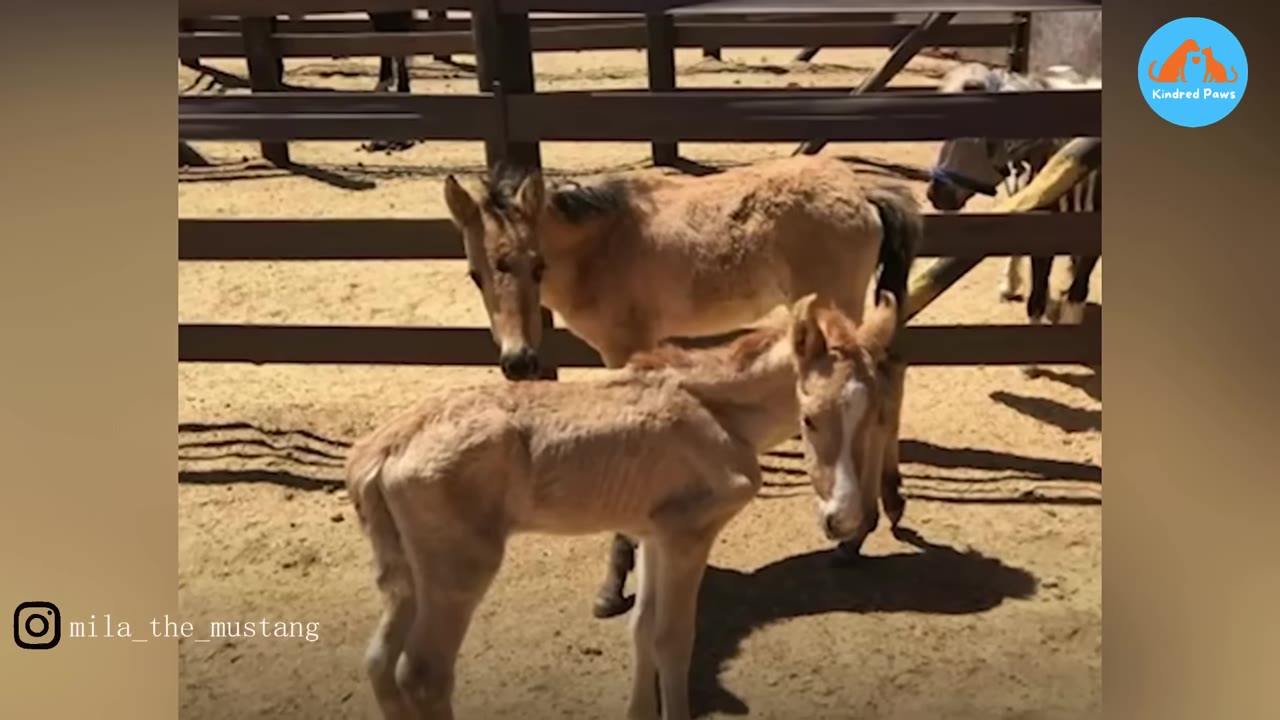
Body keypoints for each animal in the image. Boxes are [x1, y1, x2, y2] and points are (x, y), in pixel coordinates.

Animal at [345, 292, 904, 720]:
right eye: (809, 418)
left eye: (878, 415)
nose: (844, 519)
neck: (718, 411)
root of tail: (381, 449)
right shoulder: (688, 535)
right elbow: (674, 640)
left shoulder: (655, 533)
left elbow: (642, 631)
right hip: (458, 572)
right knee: (422, 675)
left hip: (402, 573)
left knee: (378, 661)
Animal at [441, 155, 920, 618]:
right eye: (475, 275)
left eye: (537, 266)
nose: (519, 361)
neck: (603, 247)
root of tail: (862, 190)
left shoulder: (625, 347)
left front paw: (613, 586)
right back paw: (884, 512)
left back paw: (855, 537)